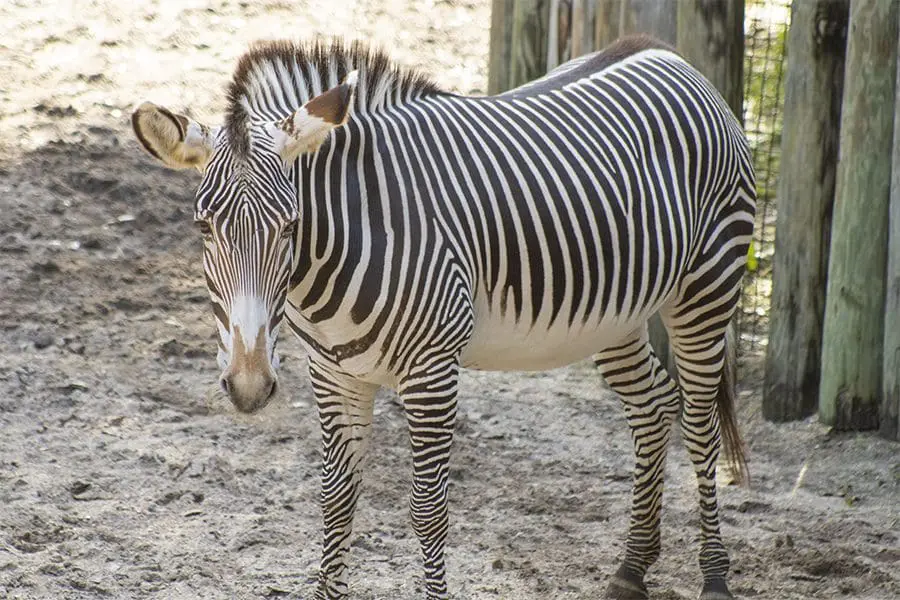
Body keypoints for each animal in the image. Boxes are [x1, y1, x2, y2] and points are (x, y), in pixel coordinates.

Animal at [130, 35, 756, 596]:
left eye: (289, 226)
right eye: (202, 227)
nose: (250, 385)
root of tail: (671, 56)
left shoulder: (432, 375)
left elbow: (428, 512)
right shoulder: (335, 375)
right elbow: (336, 503)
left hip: (706, 289)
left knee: (699, 422)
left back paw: (715, 576)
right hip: (616, 314)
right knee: (655, 406)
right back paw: (631, 569)